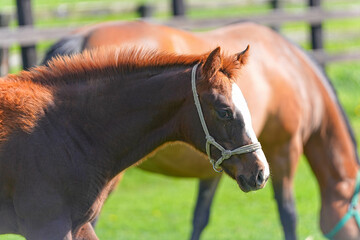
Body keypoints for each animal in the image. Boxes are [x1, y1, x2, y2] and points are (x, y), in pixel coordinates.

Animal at [43, 20, 360, 240]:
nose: (260, 175)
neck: (292, 70)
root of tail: (78, 38)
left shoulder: (219, 163)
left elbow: (200, 217)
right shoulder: (285, 151)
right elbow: (288, 214)